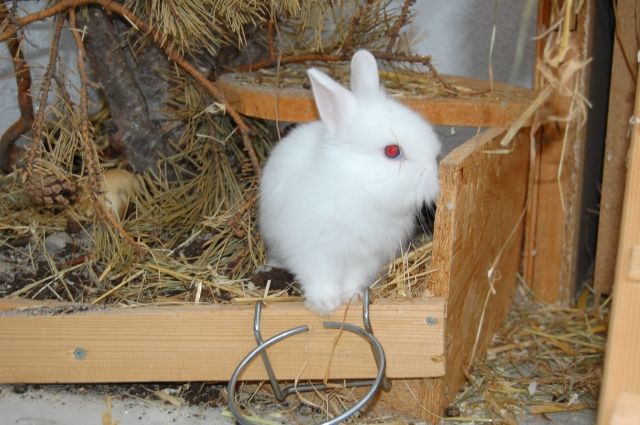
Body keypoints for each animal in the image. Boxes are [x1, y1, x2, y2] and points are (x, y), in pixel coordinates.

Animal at [258, 49, 441, 315]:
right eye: (392, 151)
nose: (435, 184)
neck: (358, 188)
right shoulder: (314, 252)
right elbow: (320, 279)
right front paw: (325, 304)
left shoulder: (366, 257)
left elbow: (354, 278)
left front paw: (351, 297)